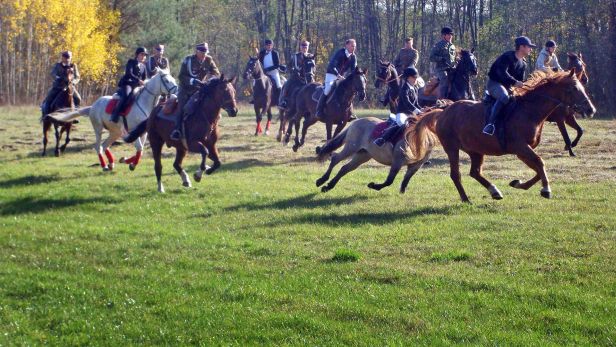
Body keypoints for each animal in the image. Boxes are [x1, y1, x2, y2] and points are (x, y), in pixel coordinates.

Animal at [49, 67, 177, 171]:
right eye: (166, 80)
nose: (176, 92)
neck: (144, 103)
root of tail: (93, 106)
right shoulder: (133, 130)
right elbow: (140, 148)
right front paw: (131, 164)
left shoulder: (143, 133)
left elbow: (140, 151)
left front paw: (126, 161)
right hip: (98, 128)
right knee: (98, 146)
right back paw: (104, 166)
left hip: (116, 132)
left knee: (105, 145)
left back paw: (111, 163)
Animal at [406, 69, 596, 203]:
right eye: (573, 88)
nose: (591, 109)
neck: (530, 110)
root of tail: (443, 111)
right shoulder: (520, 147)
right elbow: (540, 163)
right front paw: (546, 190)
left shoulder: (522, 151)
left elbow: (538, 168)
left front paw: (518, 184)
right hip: (452, 148)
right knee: (456, 174)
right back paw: (466, 199)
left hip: (475, 150)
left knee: (475, 172)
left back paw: (494, 191)